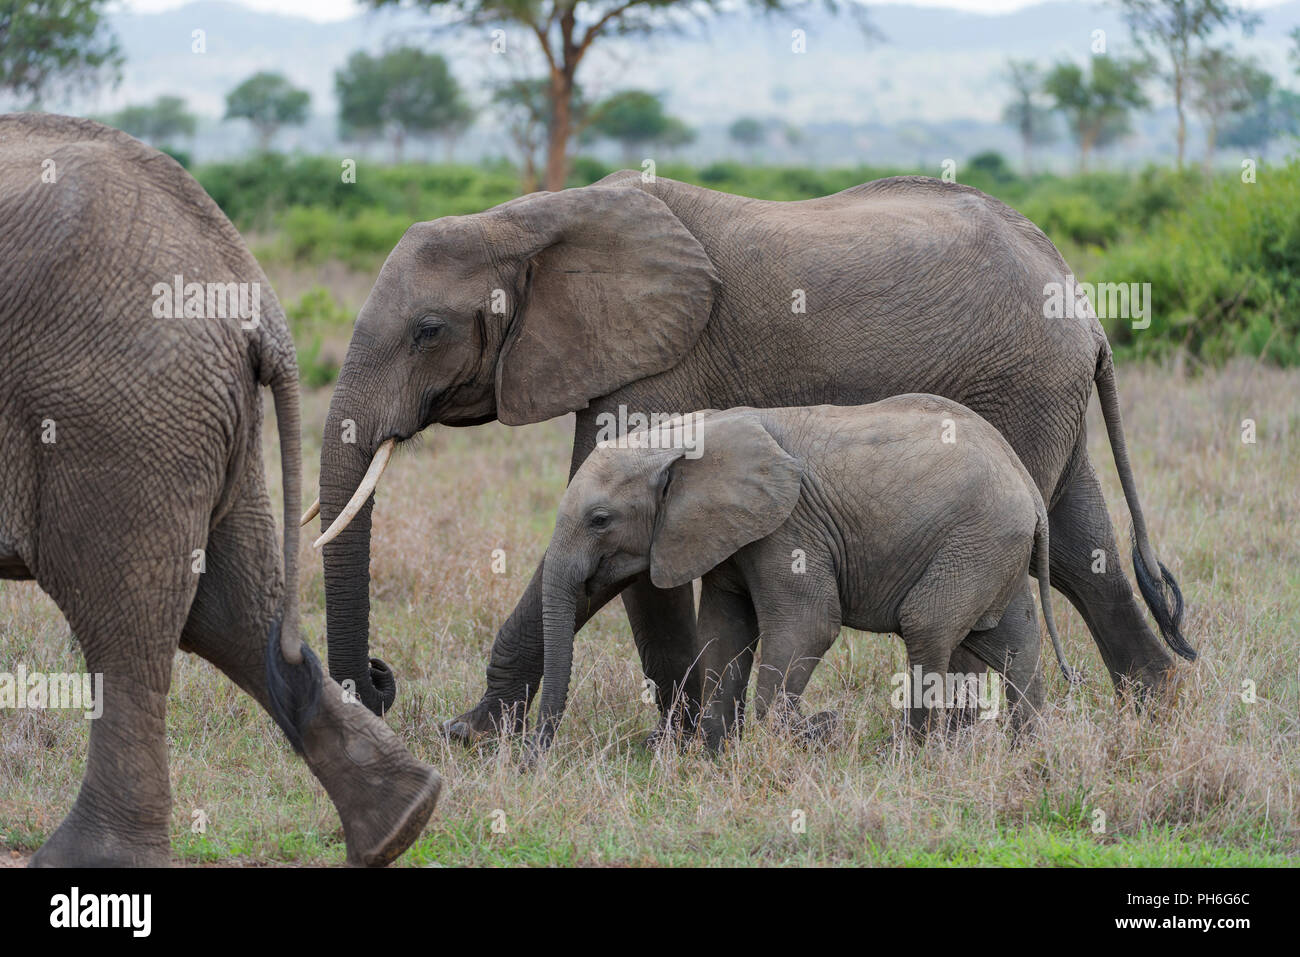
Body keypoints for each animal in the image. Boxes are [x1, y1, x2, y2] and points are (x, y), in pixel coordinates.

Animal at [0, 111, 441, 868]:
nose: (382, 675)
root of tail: (251, 292)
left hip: (114, 410)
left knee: (123, 619)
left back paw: (89, 861)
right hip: (190, 415)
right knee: (233, 608)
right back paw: (400, 822)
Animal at [527, 397, 1076, 754]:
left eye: (600, 520)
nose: (534, 755)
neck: (680, 438)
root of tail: (1025, 479)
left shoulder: (789, 526)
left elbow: (807, 626)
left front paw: (793, 740)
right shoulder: (729, 536)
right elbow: (723, 635)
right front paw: (714, 757)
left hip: (977, 538)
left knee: (927, 625)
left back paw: (909, 754)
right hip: (990, 546)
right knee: (1013, 639)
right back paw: (1028, 752)